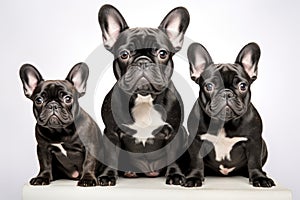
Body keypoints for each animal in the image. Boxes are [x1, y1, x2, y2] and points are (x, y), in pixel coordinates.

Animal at [97, 4, 189, 186]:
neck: (144, 97)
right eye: (124, 54)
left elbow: (173, 156)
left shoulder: (174, 131)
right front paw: (107, 176)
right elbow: (111, 156)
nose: (143, 61)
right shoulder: (111, 132)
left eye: (162, 53)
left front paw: (175, 175)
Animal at [186, 42, 276, 188]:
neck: (225, 122)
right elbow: (197, 160)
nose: (226, 93)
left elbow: (254, 161)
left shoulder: (254, 141)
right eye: (209, 86)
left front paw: (259, 177)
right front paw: (194, 177)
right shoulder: (196, 140)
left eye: (243, 86)